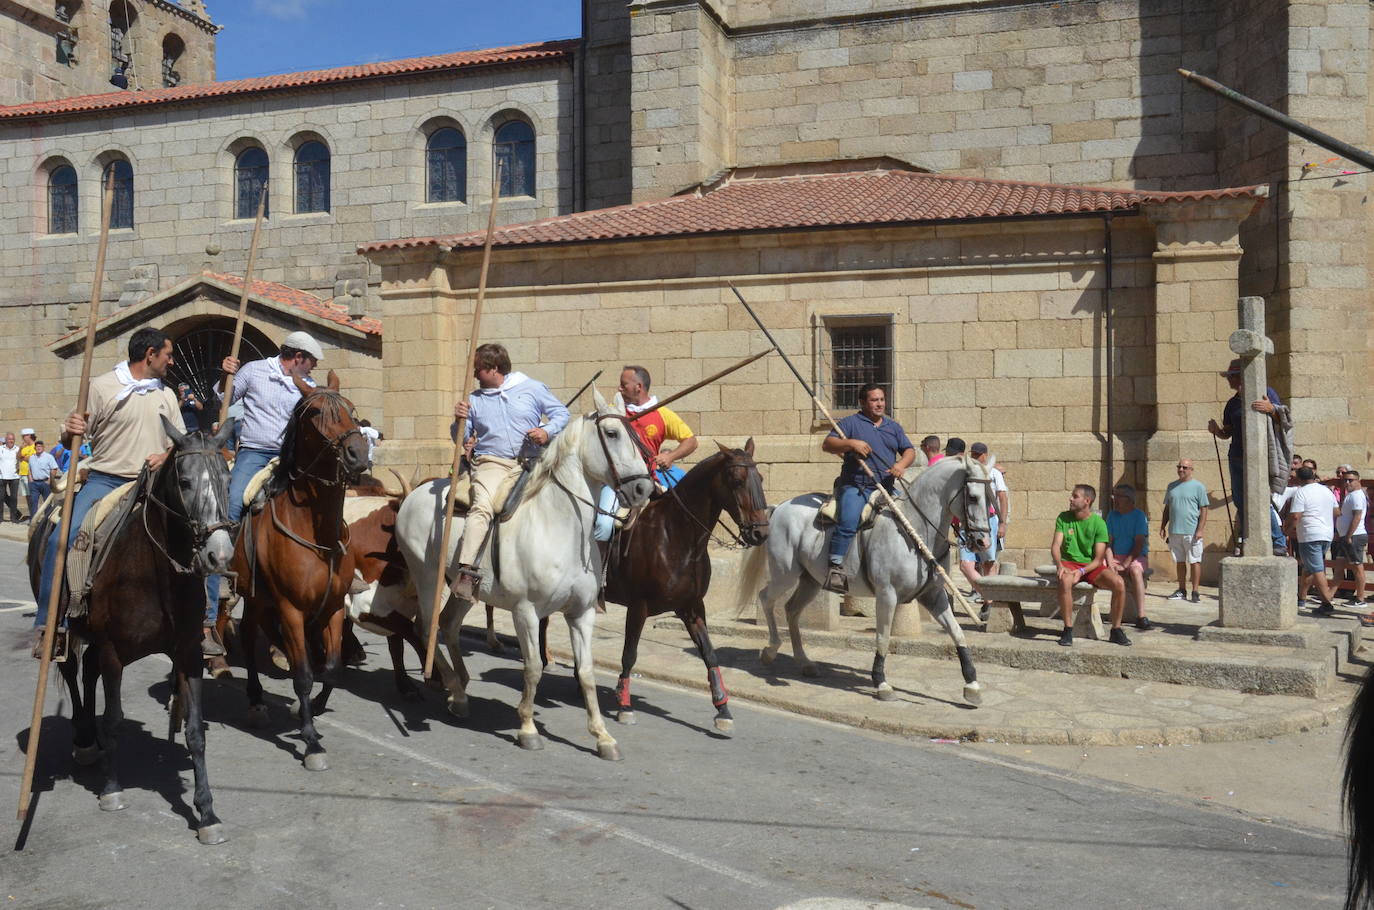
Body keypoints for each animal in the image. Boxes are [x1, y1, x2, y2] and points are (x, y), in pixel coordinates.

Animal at [45, 420, 239, 846]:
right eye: (184, 481)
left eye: (227, 479)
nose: (218, 555)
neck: (155, 574)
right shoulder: (114, 652)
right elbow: (115, 718)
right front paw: (112, 789)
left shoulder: (187, 651)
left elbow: (196, 731)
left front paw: (207, 812)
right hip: (69, 630)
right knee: (71, 670)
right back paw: (85, 741)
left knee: (87, 671)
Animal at [230, 373, 370, 775]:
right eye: (317, 414)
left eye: (350, 408)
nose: (358, 454)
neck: (315, 532)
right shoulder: (291, 609)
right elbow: (304, 674)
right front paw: (311, 742)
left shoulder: (333, 607)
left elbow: (332, 667)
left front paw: (314, 710)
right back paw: (253, 700)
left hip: (257, 598)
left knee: (251, 633)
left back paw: (258, 699)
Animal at [398, 393, 654, 764]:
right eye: (612, 433)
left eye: (638, 435)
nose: (643, 488)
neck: (558, 524)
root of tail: (412, 496)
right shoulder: (526, 611)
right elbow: (532, 667)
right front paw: (528, 729)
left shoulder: (581, 613)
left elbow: (586, 672)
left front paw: (602, 736)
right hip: (427, 577)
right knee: (425, 627)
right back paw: (452, 687)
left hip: (465, 590)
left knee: (448, 626)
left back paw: (459, 693)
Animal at [607, 442, 769, 736]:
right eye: (737, 480)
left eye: (760, 478)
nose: (760, 533)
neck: (675, 535)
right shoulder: (638, 606)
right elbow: (629, 655)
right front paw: (624, 705)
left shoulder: (691, 607)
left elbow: (710, 654)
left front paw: (722, 708)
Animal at [736, 453, 994, 703]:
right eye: (973, 497)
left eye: (991, 497)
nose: (983, 542)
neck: (915, 531)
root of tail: (779, 507)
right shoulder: (887, 594)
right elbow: (883, 637)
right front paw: (881, 683)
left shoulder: (933, 595)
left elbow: (957, 633)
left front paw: (972, 684)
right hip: (785, 574)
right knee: (766, 598)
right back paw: (771, 649)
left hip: (811, 581)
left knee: (791, 610)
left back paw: (804, 661)